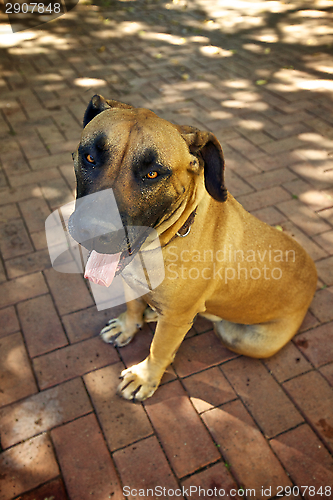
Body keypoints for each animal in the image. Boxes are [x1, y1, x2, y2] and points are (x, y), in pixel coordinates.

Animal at [68, 94, 316, 402]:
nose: (93, 230)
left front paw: (144, 377)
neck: (167, 237)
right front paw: (128, 325)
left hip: (243, 338)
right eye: (90, 157)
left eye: (153, 173)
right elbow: (133, 304)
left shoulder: (176, 319)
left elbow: (159, 349)